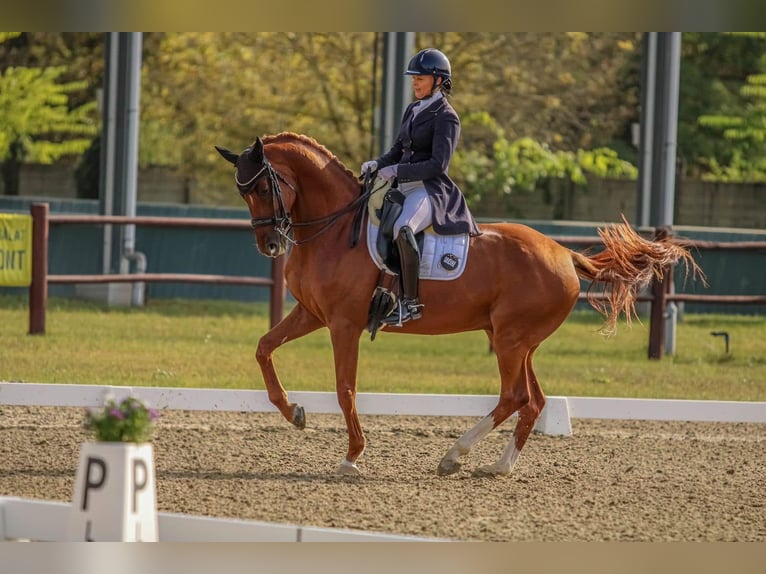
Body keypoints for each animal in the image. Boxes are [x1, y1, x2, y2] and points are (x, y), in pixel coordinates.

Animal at [214, 133, 696, 480]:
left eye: (264, 185)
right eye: (242, 192)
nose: (270, 244)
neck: (334, 230)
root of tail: (564, 253)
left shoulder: (343, 324)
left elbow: (345, 388)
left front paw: (352, 457)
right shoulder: (313, 314)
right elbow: (263, 348)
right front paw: (294, 412)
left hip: (510, 340)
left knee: (515, 396)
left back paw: (453, 455)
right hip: (515, 341)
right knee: (533, 401)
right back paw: (497, 466)